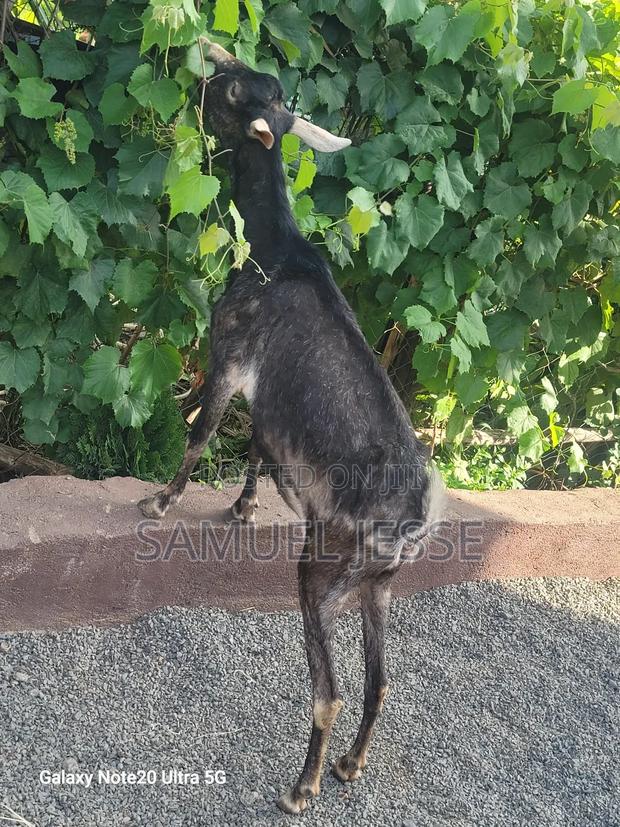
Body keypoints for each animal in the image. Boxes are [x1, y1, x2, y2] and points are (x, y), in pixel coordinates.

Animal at [138, 39, 443, 815]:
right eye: (248, 78)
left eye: (232, 91)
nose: (203, 62)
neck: (272, 248)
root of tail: (415, 517)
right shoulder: (269, 397)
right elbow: (253, 444)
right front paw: (243, 507)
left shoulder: (228, 353)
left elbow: (202, 431)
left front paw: (160, 501)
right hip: (379, 586)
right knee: (380, 681)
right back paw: (350, 767)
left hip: (324, 573)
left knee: (329, 691)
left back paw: (301, 787)